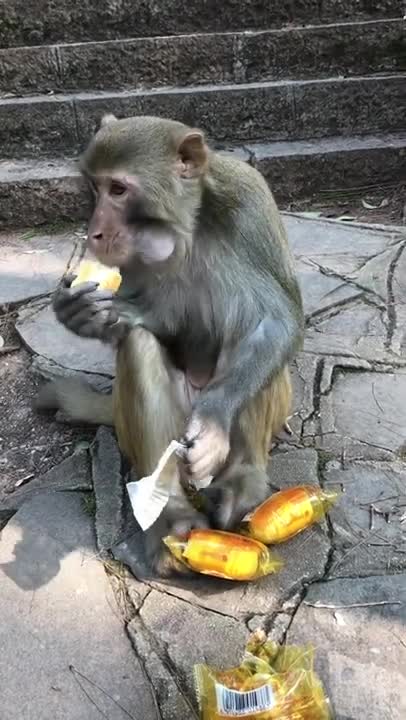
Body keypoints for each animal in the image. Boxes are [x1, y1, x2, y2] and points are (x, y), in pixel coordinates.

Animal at [36, 114, 304, 576]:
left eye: (118, 189)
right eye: (94, 187)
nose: (95, 232)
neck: (186, 226)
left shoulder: (250, 206)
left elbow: (277, 319)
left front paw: (212, 425)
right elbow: (138, 325)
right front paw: (79, 313)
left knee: (254, 336)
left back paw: (242, 482)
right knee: (139, 346)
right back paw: (172, 514)